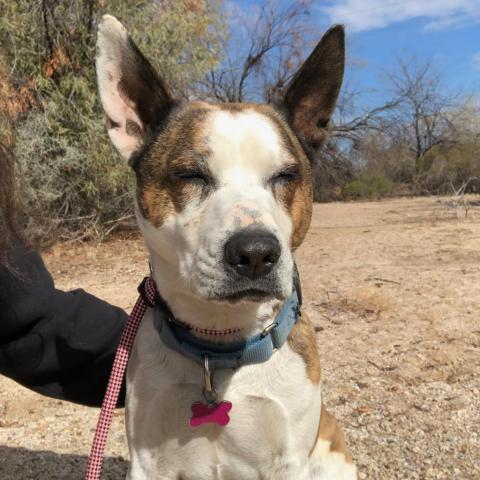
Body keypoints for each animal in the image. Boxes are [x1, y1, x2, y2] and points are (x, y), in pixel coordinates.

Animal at [94, 15, 356, 480]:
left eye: (286, 175)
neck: (218, 347)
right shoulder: (147, 459)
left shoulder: (288, 459)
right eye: (189, 175)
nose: (255, 253)